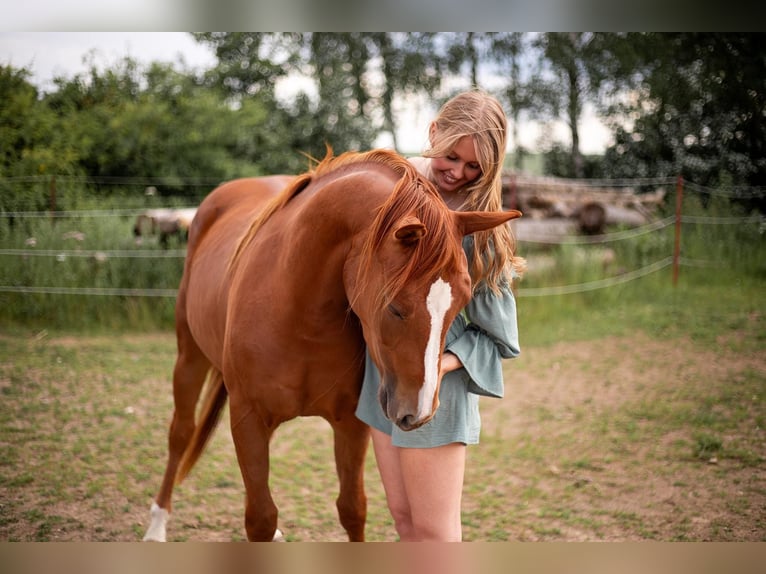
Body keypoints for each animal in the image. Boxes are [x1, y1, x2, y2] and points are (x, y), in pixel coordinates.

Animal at [142, 149, 522, 542]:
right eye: (394, 307)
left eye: (462, 301)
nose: (418, 412)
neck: (297, 308)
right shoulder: (248, 419)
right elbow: (261, 517)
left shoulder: (350, 424)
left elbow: (352, 508)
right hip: (189, 357)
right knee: (180, 434)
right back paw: (156, 525)